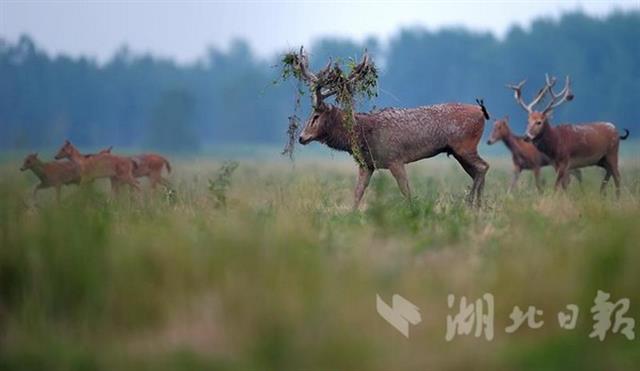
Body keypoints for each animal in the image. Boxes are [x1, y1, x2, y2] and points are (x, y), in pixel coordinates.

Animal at [290, 47, 490, 209]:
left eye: (316, 116)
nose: (301, 137)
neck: (364, 134)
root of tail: (481, 112)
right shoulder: (367, 164)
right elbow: (357, 193)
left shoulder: (395, 158)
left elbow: (406, 191)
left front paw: (412, 212)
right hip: (458, 151)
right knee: (478, 170)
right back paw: (478, 207)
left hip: (465, 145)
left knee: (482, 167)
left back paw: (471, 205)